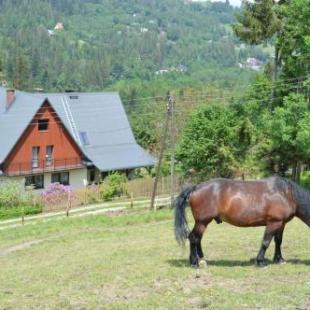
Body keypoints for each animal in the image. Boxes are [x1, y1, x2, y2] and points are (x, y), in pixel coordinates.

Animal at [174, 176, 310, 268]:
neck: (287, 194)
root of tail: (196, 187)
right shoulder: (273, 222)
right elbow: (266, 242)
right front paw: (260, 261)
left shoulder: (281, 223)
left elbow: (278, 241)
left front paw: (279, 259)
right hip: (202, 221)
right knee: (193, 237)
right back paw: (194, 262)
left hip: (203, 222)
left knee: (197, 239)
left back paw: (201, 259)